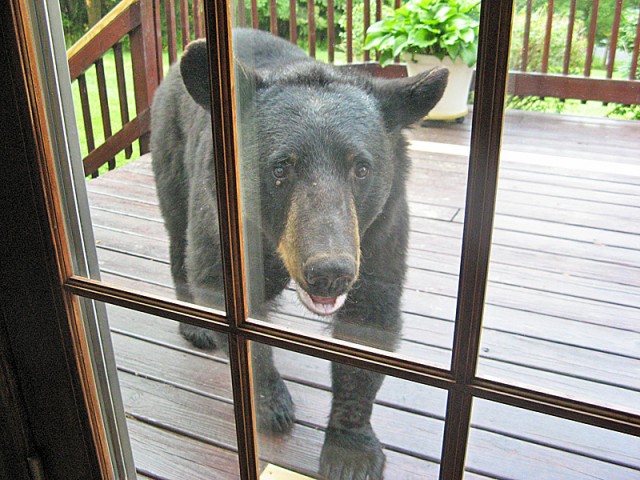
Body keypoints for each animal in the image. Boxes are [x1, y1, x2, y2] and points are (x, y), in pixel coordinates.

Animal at [150, 28, 447, 480]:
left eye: (361, 168)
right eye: (280, 168)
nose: (330, 271)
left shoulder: (380, 227)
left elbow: (370, 318)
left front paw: (350, 451)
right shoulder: (222, 213)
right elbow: (224, 294)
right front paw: (270, 405)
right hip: (172, 146)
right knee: (177, 229)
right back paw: (195, 323)